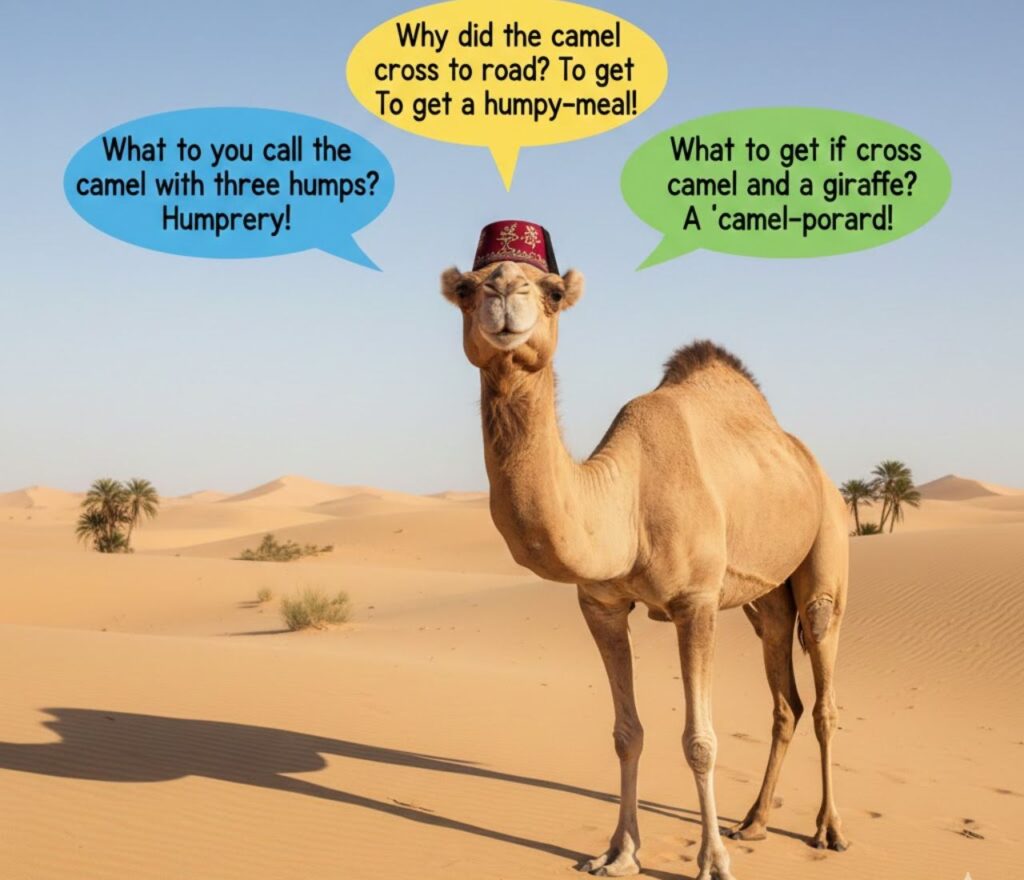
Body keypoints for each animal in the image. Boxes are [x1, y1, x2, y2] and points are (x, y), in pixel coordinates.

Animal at [440, 242, 849, 880]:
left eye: (552, 291)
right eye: (465, 288)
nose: (504, 292)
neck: (627, 502)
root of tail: (813, 467)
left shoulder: (696, 602)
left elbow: (700, 741)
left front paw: (712, 862)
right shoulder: (601, 604)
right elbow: (626, 733)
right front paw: (619, 851)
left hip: (827, 546)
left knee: (826, 684)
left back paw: (827, 830)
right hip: (765, 598)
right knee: (786, 700)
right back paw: (755, 821)